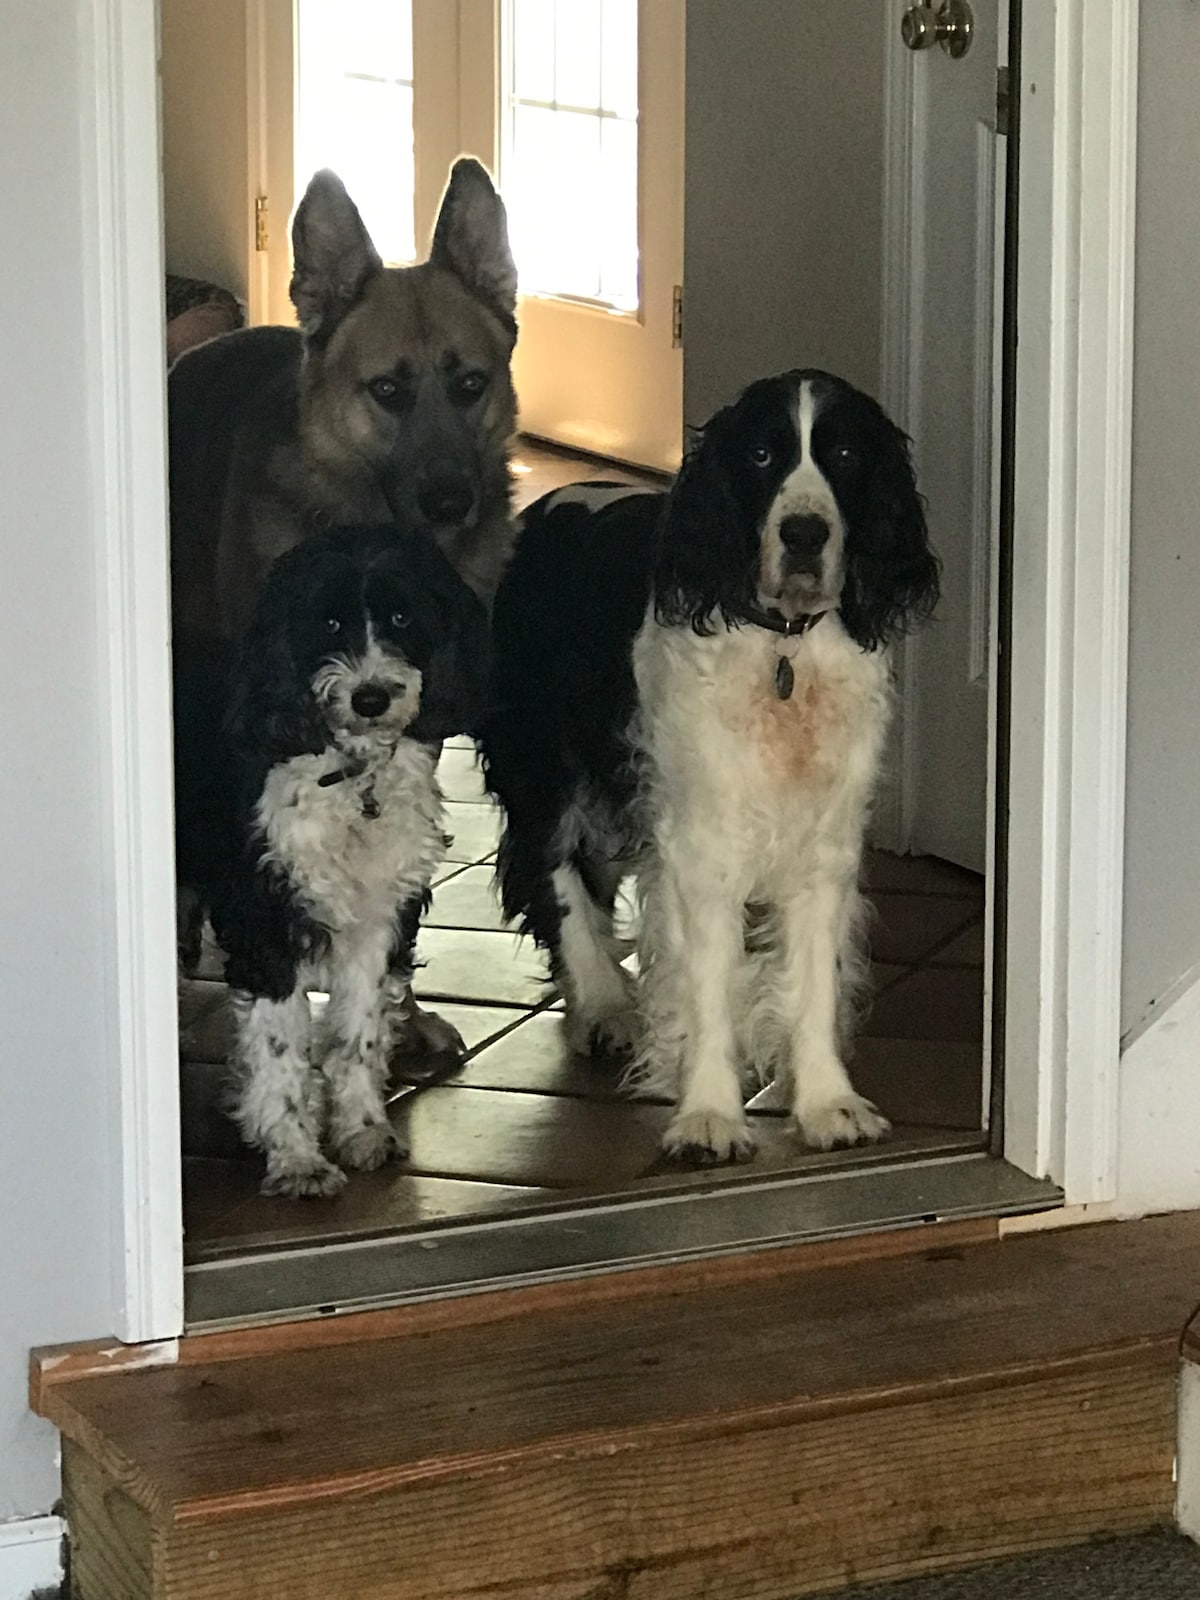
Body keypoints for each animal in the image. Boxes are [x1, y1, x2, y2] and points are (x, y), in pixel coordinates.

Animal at [188, 528, 489, 1203]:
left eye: (402, 617)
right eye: (328, 623)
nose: (370, 697)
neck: (350, 775)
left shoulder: (380, 920)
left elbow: (359, 1033)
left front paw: (363, 1131)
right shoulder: (267, 925)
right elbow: (281, 1054)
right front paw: (297, 1160)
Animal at [483, 366, 947, 1164]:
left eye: (846, 454)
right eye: (760, 455)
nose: (804, 533)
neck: (783, 650)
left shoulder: (822, 843)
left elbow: (812, 982)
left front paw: (826, 1104)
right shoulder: (701, 845)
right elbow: (704, 985)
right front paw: (709, 1116)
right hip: (545, 763)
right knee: (555, 872)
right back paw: (603, 1004)